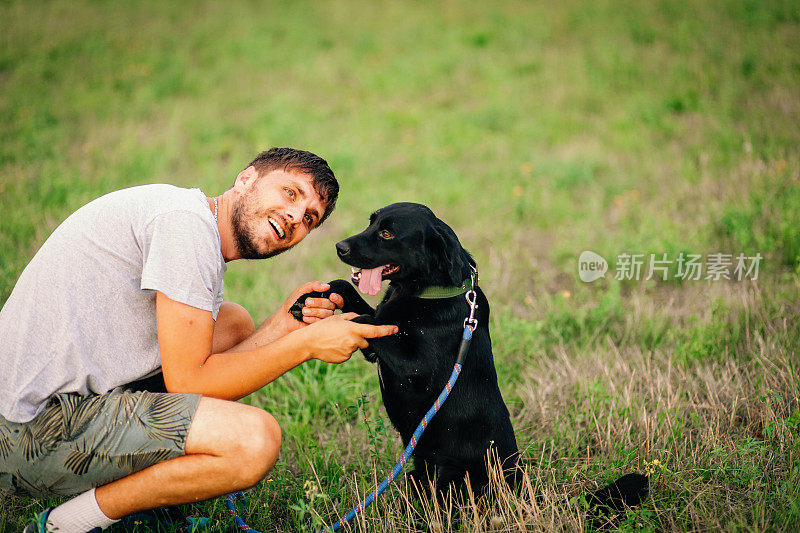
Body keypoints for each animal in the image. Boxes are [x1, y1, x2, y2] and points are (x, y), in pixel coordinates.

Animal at [292, 202, 520, 492]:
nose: (339, 247)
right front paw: (307, 299)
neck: (425, 292)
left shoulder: (417, 368)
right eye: (371, 223)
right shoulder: (376, 344)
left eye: (387, 234)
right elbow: (344, 287)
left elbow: (364, 320)